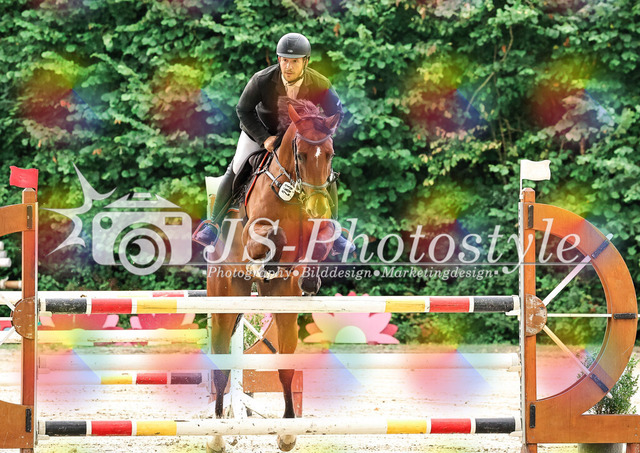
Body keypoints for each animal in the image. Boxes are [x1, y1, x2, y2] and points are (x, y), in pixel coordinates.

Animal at [205, 99, 340, 452]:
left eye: (330, 153)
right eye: (301, 154)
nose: (317, 205)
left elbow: (323, 235)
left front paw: (310, 278)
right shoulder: (256, 230)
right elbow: (269, 236)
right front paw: (264, 260)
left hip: (281, 304)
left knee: (286, 367)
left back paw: (287, 432)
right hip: (223, 297)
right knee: (221, 368)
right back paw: (216, 435)